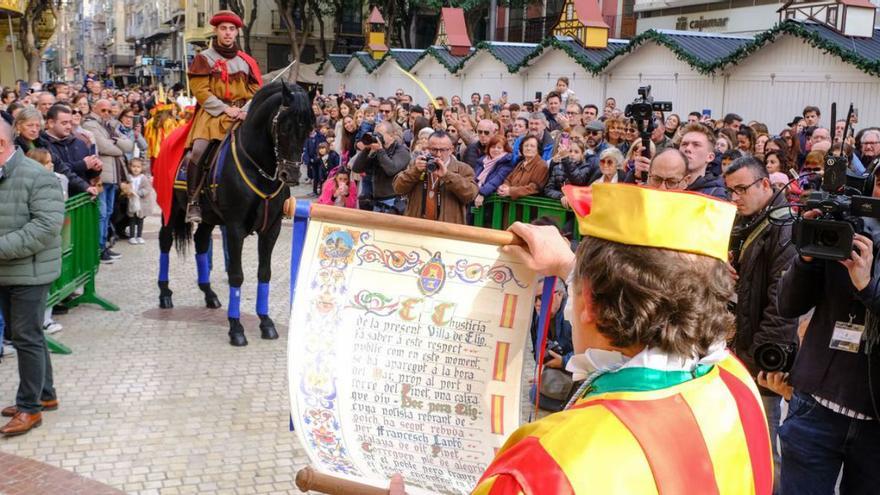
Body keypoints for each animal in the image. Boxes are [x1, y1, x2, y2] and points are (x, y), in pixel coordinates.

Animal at [157, 81, 312, 346]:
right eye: (284, 126)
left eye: (310, 128)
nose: (290, 175)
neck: (258, 169)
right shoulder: (235, 228)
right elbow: (236, 276)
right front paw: (236, 328)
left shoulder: (271, 229)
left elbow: (264, 273)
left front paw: (266, 322)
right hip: (172, 210)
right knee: (165, 241)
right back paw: (165, 292)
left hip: (209, 217)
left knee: (201, 242)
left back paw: (209, 293)